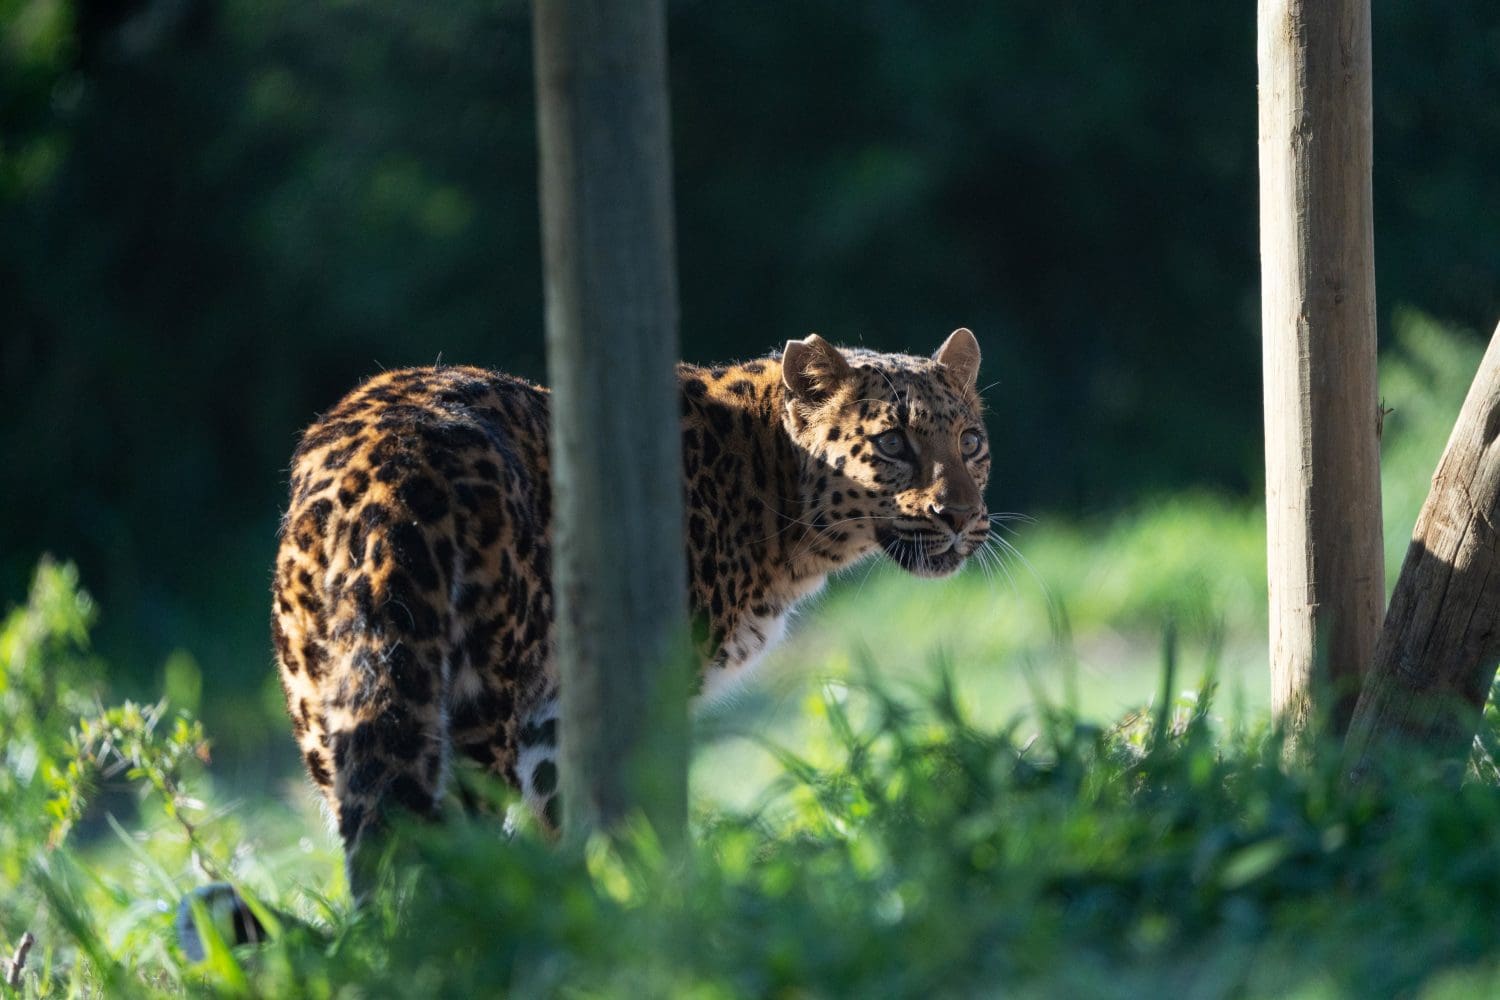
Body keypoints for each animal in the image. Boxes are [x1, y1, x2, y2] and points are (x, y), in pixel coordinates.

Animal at [274, 326, 990, 893]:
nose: (960, 516)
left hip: (333, 705)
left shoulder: (553, 718)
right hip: (472, 707)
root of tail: (390, 466)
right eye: (893, 443)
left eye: (971, 441)